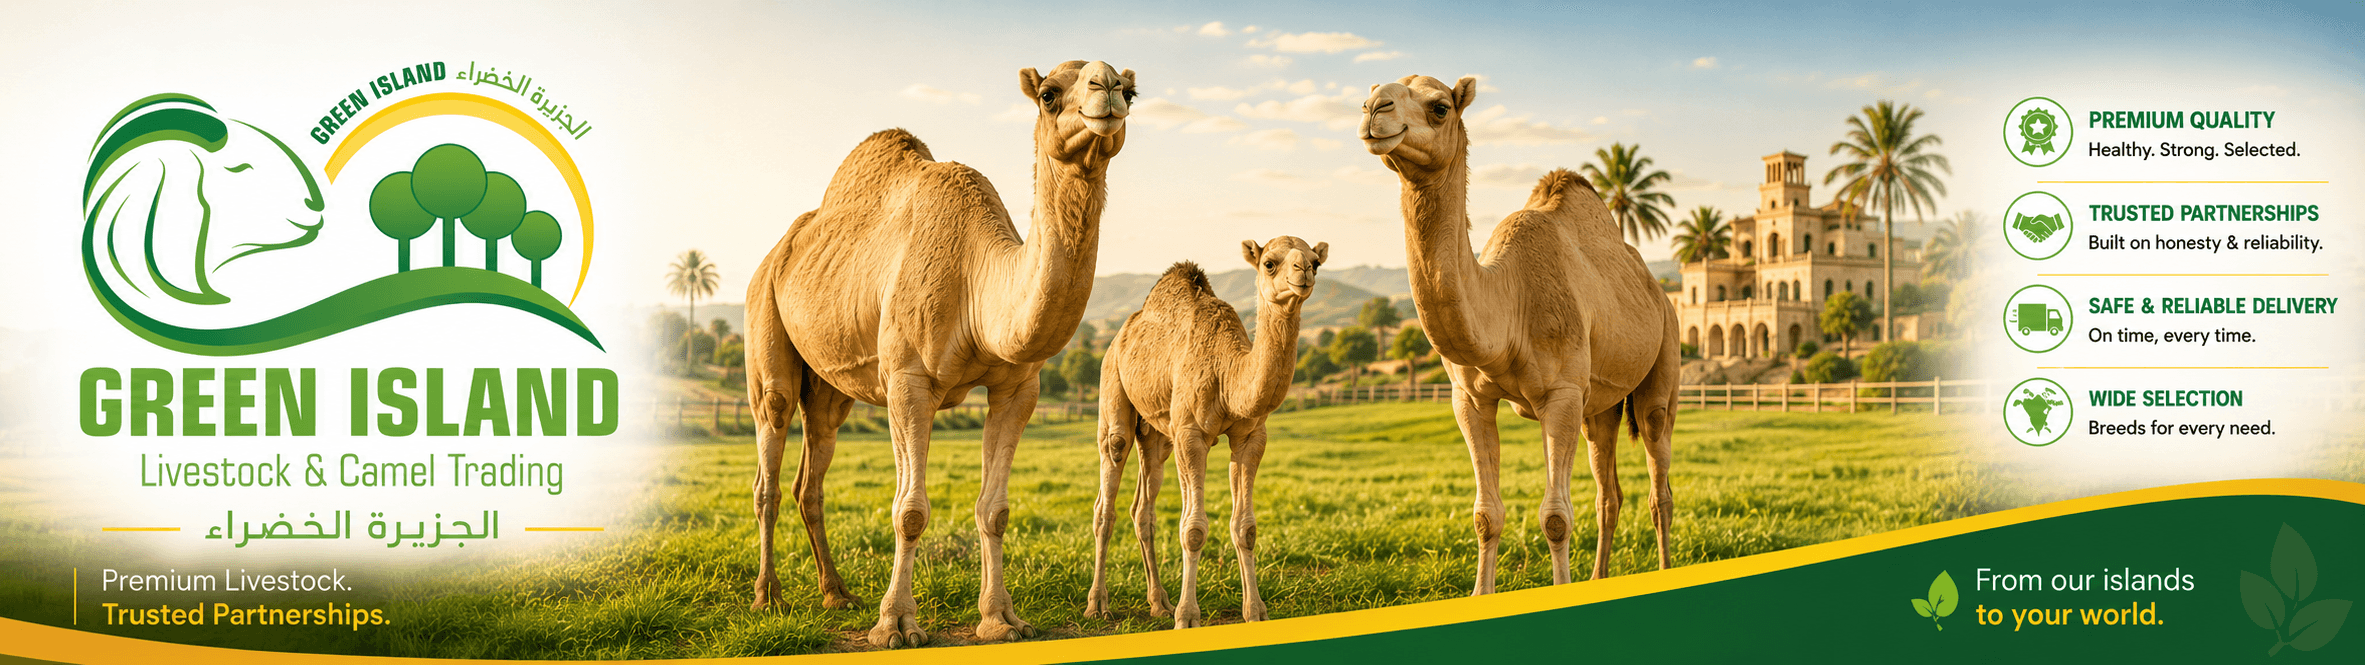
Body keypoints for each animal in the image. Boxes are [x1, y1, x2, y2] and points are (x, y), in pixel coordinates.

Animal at [742, 60, 1135, 648]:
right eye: (1048, 95)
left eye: (1132, 91)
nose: (1106, 87)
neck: (978, 280)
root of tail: (777, 254)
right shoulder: (907, 379)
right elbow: (909, 511)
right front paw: (896, 625)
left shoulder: (1018, 388)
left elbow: (995, 510)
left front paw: (1001, 620)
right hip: (765, 321)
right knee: (770, 452)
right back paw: (769, 597)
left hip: (831, 386)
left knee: (811, 475)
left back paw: (837, 594)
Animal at [1084, 236, 1328, 629]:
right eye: (1270, 263)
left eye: (1316, 262)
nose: (1303, 271)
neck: (1228, 372)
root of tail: (1120, 334)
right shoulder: (1190, 434)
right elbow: (1193, 529)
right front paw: (1187, 617)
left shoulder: (1250, 437)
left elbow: (1246, 527)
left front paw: (1255, 612)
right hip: (1113, 389)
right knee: (1107, 496)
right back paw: (1098, 605)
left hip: (1157, 434)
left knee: (1143, 508)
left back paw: (1159, 603)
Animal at [1357, 75, 1680, 592]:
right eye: (1366, 97)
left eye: (1440, 107)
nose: (1374, 109)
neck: (1508, 304)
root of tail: (1659, 290)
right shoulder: (1469, 397)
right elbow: (1486, 514)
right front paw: (1481, 593)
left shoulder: (1562, 393)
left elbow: (1556, 517)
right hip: (1601, 406)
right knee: (1608, 493)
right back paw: (1598, 577)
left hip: (1663, 362)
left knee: (1659, 481)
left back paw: (1665, 570)